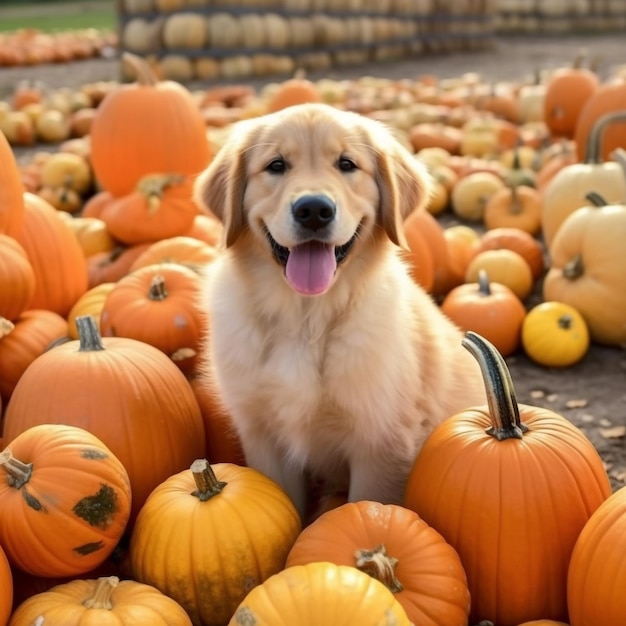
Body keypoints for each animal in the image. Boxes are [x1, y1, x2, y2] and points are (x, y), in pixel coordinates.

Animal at [193, 103, 486, 516]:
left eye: (347, 164)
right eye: (276, 165)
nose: (314, 210)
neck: (306, 317)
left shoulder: (381, 447)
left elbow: (365, 509)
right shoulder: (264, 439)